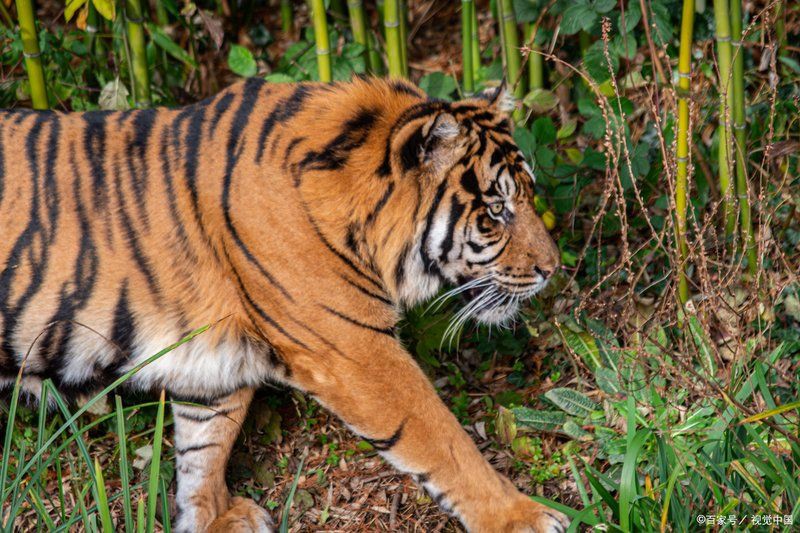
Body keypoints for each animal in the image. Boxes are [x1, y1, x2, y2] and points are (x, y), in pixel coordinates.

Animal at [0, 76, 567, 532]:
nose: (553, 268)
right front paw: (522, 518)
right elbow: (443, 439)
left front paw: (211, 519)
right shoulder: (355, 350)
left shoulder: (212, 361)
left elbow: (204, 446)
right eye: (496, 211)